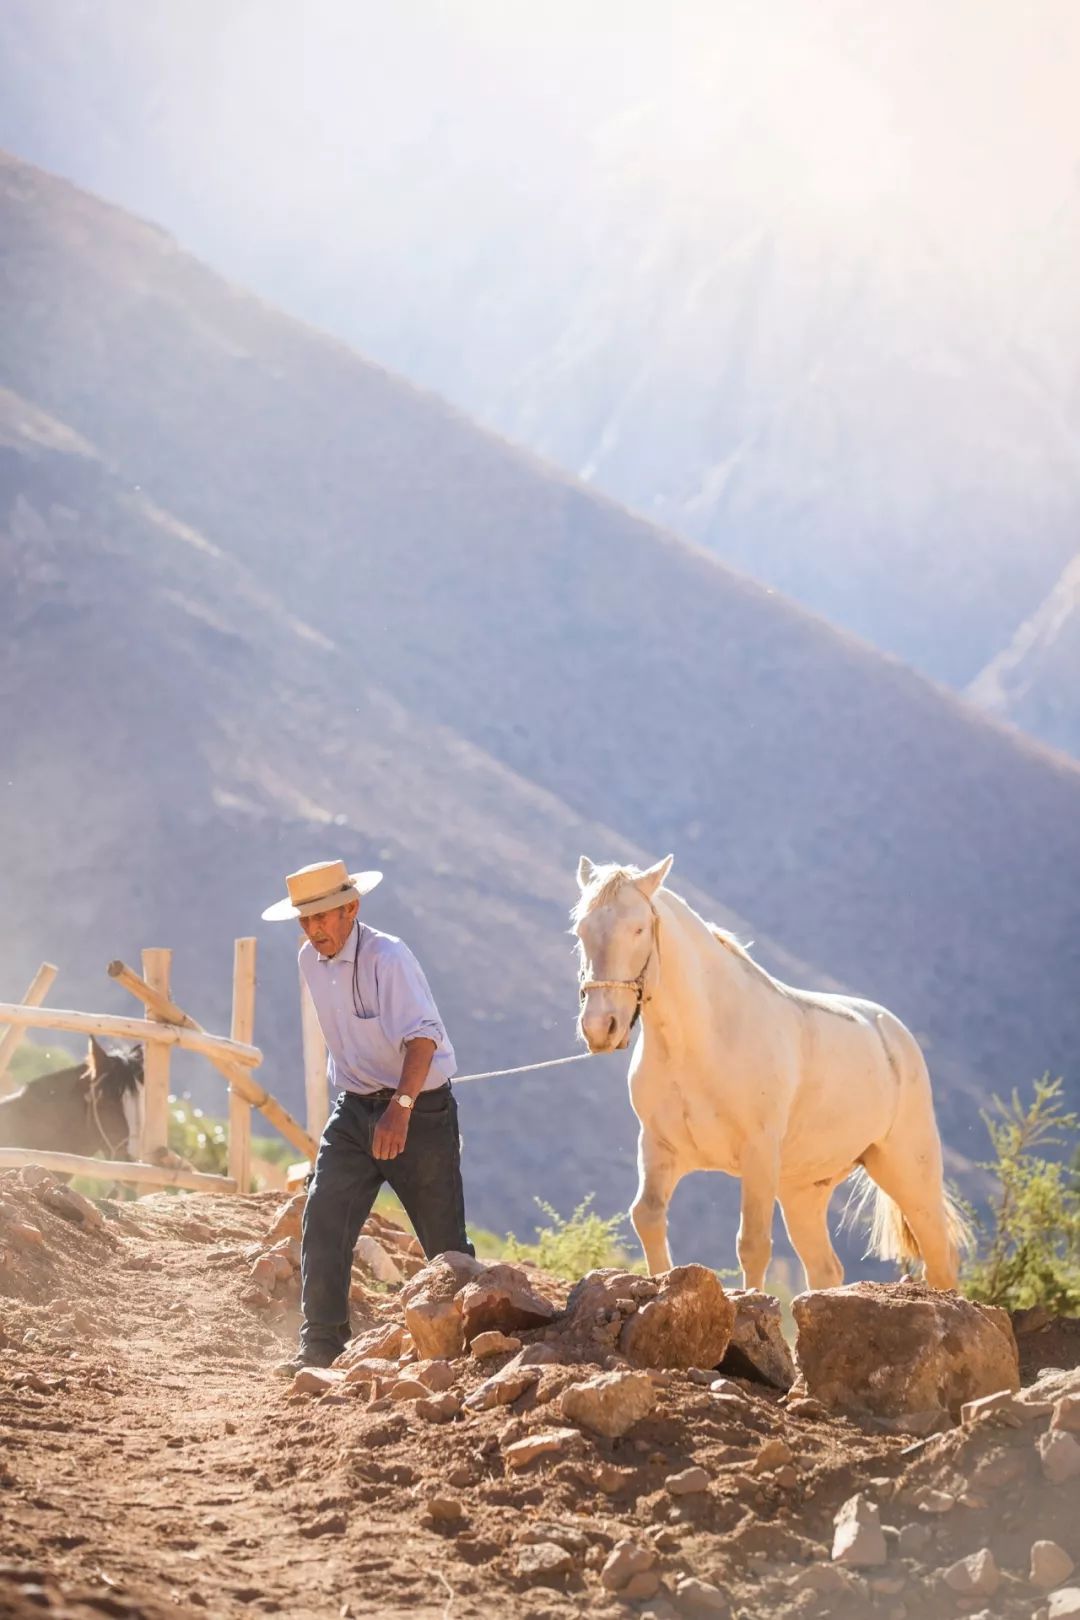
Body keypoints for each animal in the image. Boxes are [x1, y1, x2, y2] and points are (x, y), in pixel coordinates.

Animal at [579, 855, 965, 1283]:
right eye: (581, 929)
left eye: (638, 928)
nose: (599, 1027)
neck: (702, 1041)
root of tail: (895, 1033)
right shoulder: (659, 1147)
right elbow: (647, 1217)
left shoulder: (759, 1153)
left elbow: (753, 1245)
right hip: (804, 1191)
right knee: (825, 1268)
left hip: (910, 1173)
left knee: (941, 1259)